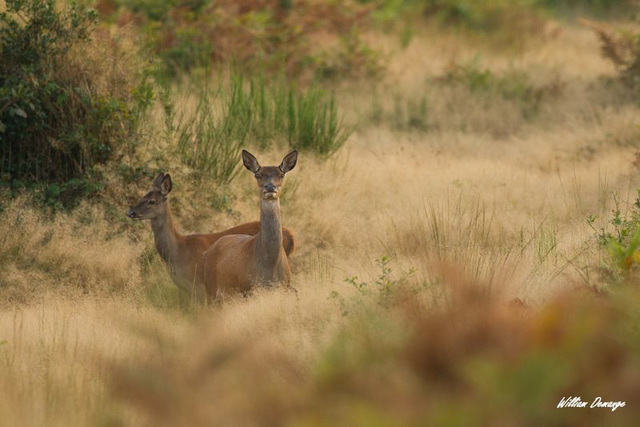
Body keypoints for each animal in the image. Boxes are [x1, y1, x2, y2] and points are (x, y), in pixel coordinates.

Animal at [128, 171, 298, 300]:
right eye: (142, 196)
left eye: (151, 201)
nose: (131, 212)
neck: (178, 252)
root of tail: (291, 236)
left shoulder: (199, 286)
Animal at [202, 150, 298, 298]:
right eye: (258, 175)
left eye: (281, 174)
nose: (270, 187)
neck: (269, 266)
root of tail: (207, 252)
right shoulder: (248, 287)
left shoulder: (284, 285)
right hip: (212, 288)